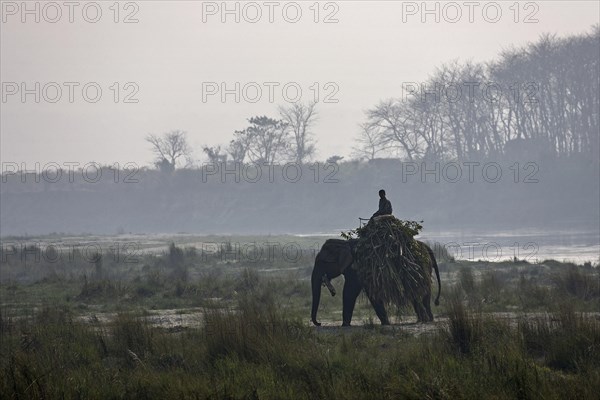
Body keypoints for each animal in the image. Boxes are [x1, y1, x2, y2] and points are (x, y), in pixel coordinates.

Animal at [310, 239, 440, 326]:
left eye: (321, 262)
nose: (319, 323)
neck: (344, 243)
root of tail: (428, 249)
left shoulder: (356, 267)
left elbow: (350, 292)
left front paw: (345, 325)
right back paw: (424, 320)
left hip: (421, 267)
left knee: (422, 291)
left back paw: (426, 320)